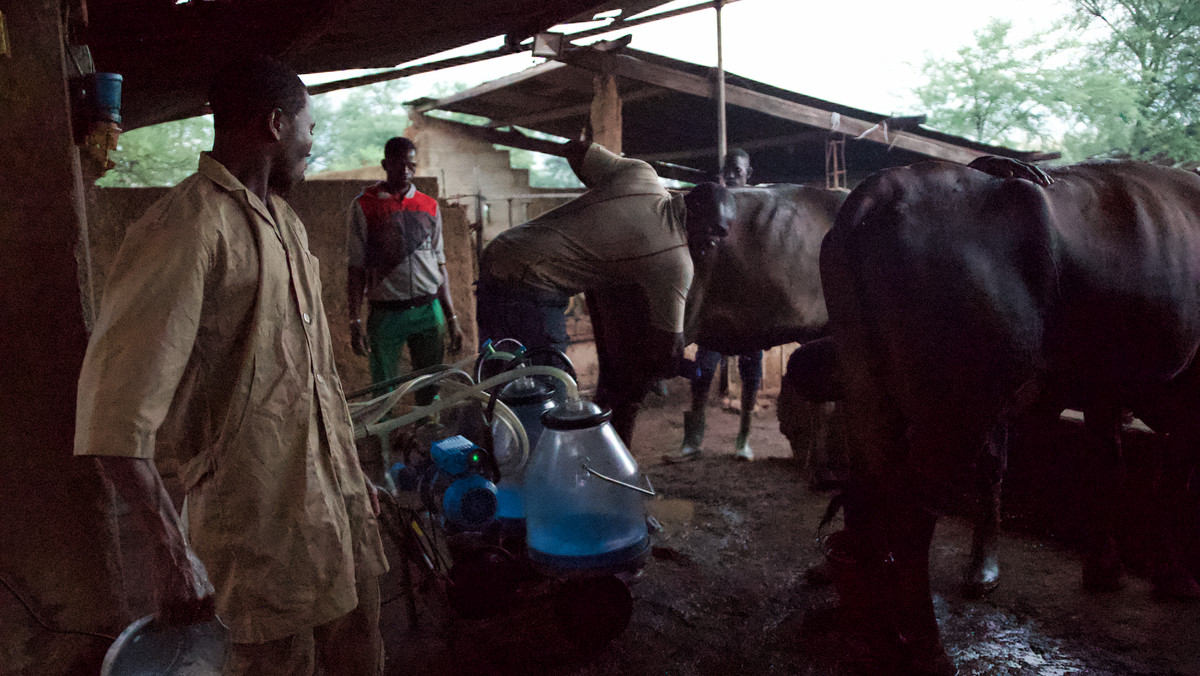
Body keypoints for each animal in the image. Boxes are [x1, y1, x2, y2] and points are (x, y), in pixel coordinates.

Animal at [820, 159, 1200, 676]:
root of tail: (879, 193)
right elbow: (1171, 482)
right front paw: (1175, 577)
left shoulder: (1103, 387)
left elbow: (1109, 468)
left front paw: (1104, 570)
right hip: (956, 408)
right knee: (913, 513)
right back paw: (925, 645)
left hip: (867, 387)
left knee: (870, 491)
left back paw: (871, 622)